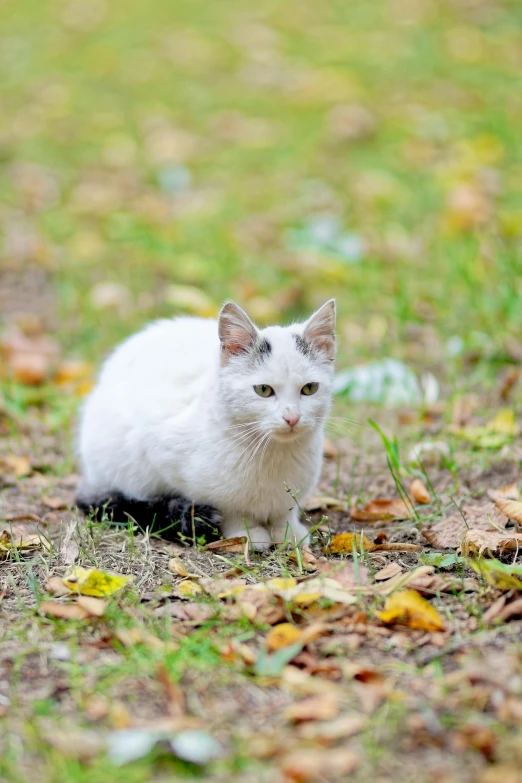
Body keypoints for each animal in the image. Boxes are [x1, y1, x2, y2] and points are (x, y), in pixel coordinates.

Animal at [78, 300, 338, 552]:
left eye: (309, 388)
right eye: (263, 390)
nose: (292, 418)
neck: (272, 452)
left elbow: (285, 510)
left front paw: (287, 532)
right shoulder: (160, 453)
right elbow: (229, 508)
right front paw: (247, 533)